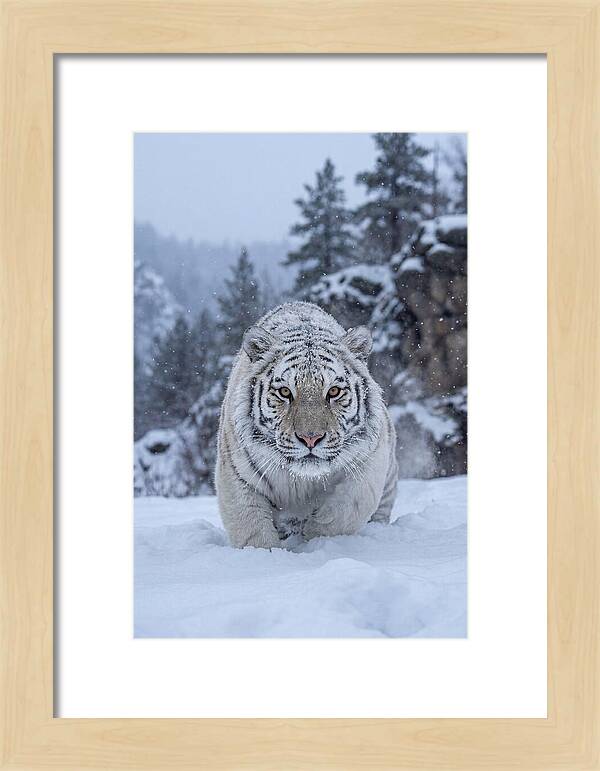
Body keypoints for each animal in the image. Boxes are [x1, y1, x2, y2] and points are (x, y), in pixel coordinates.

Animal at [216, 301, 398, 549]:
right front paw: (267, 553)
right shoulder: (236, 475)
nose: (310, 438)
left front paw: (314, 539)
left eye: (334, 391)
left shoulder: (368, 464)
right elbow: (252, 530)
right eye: (285, 392)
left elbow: (342, 513)